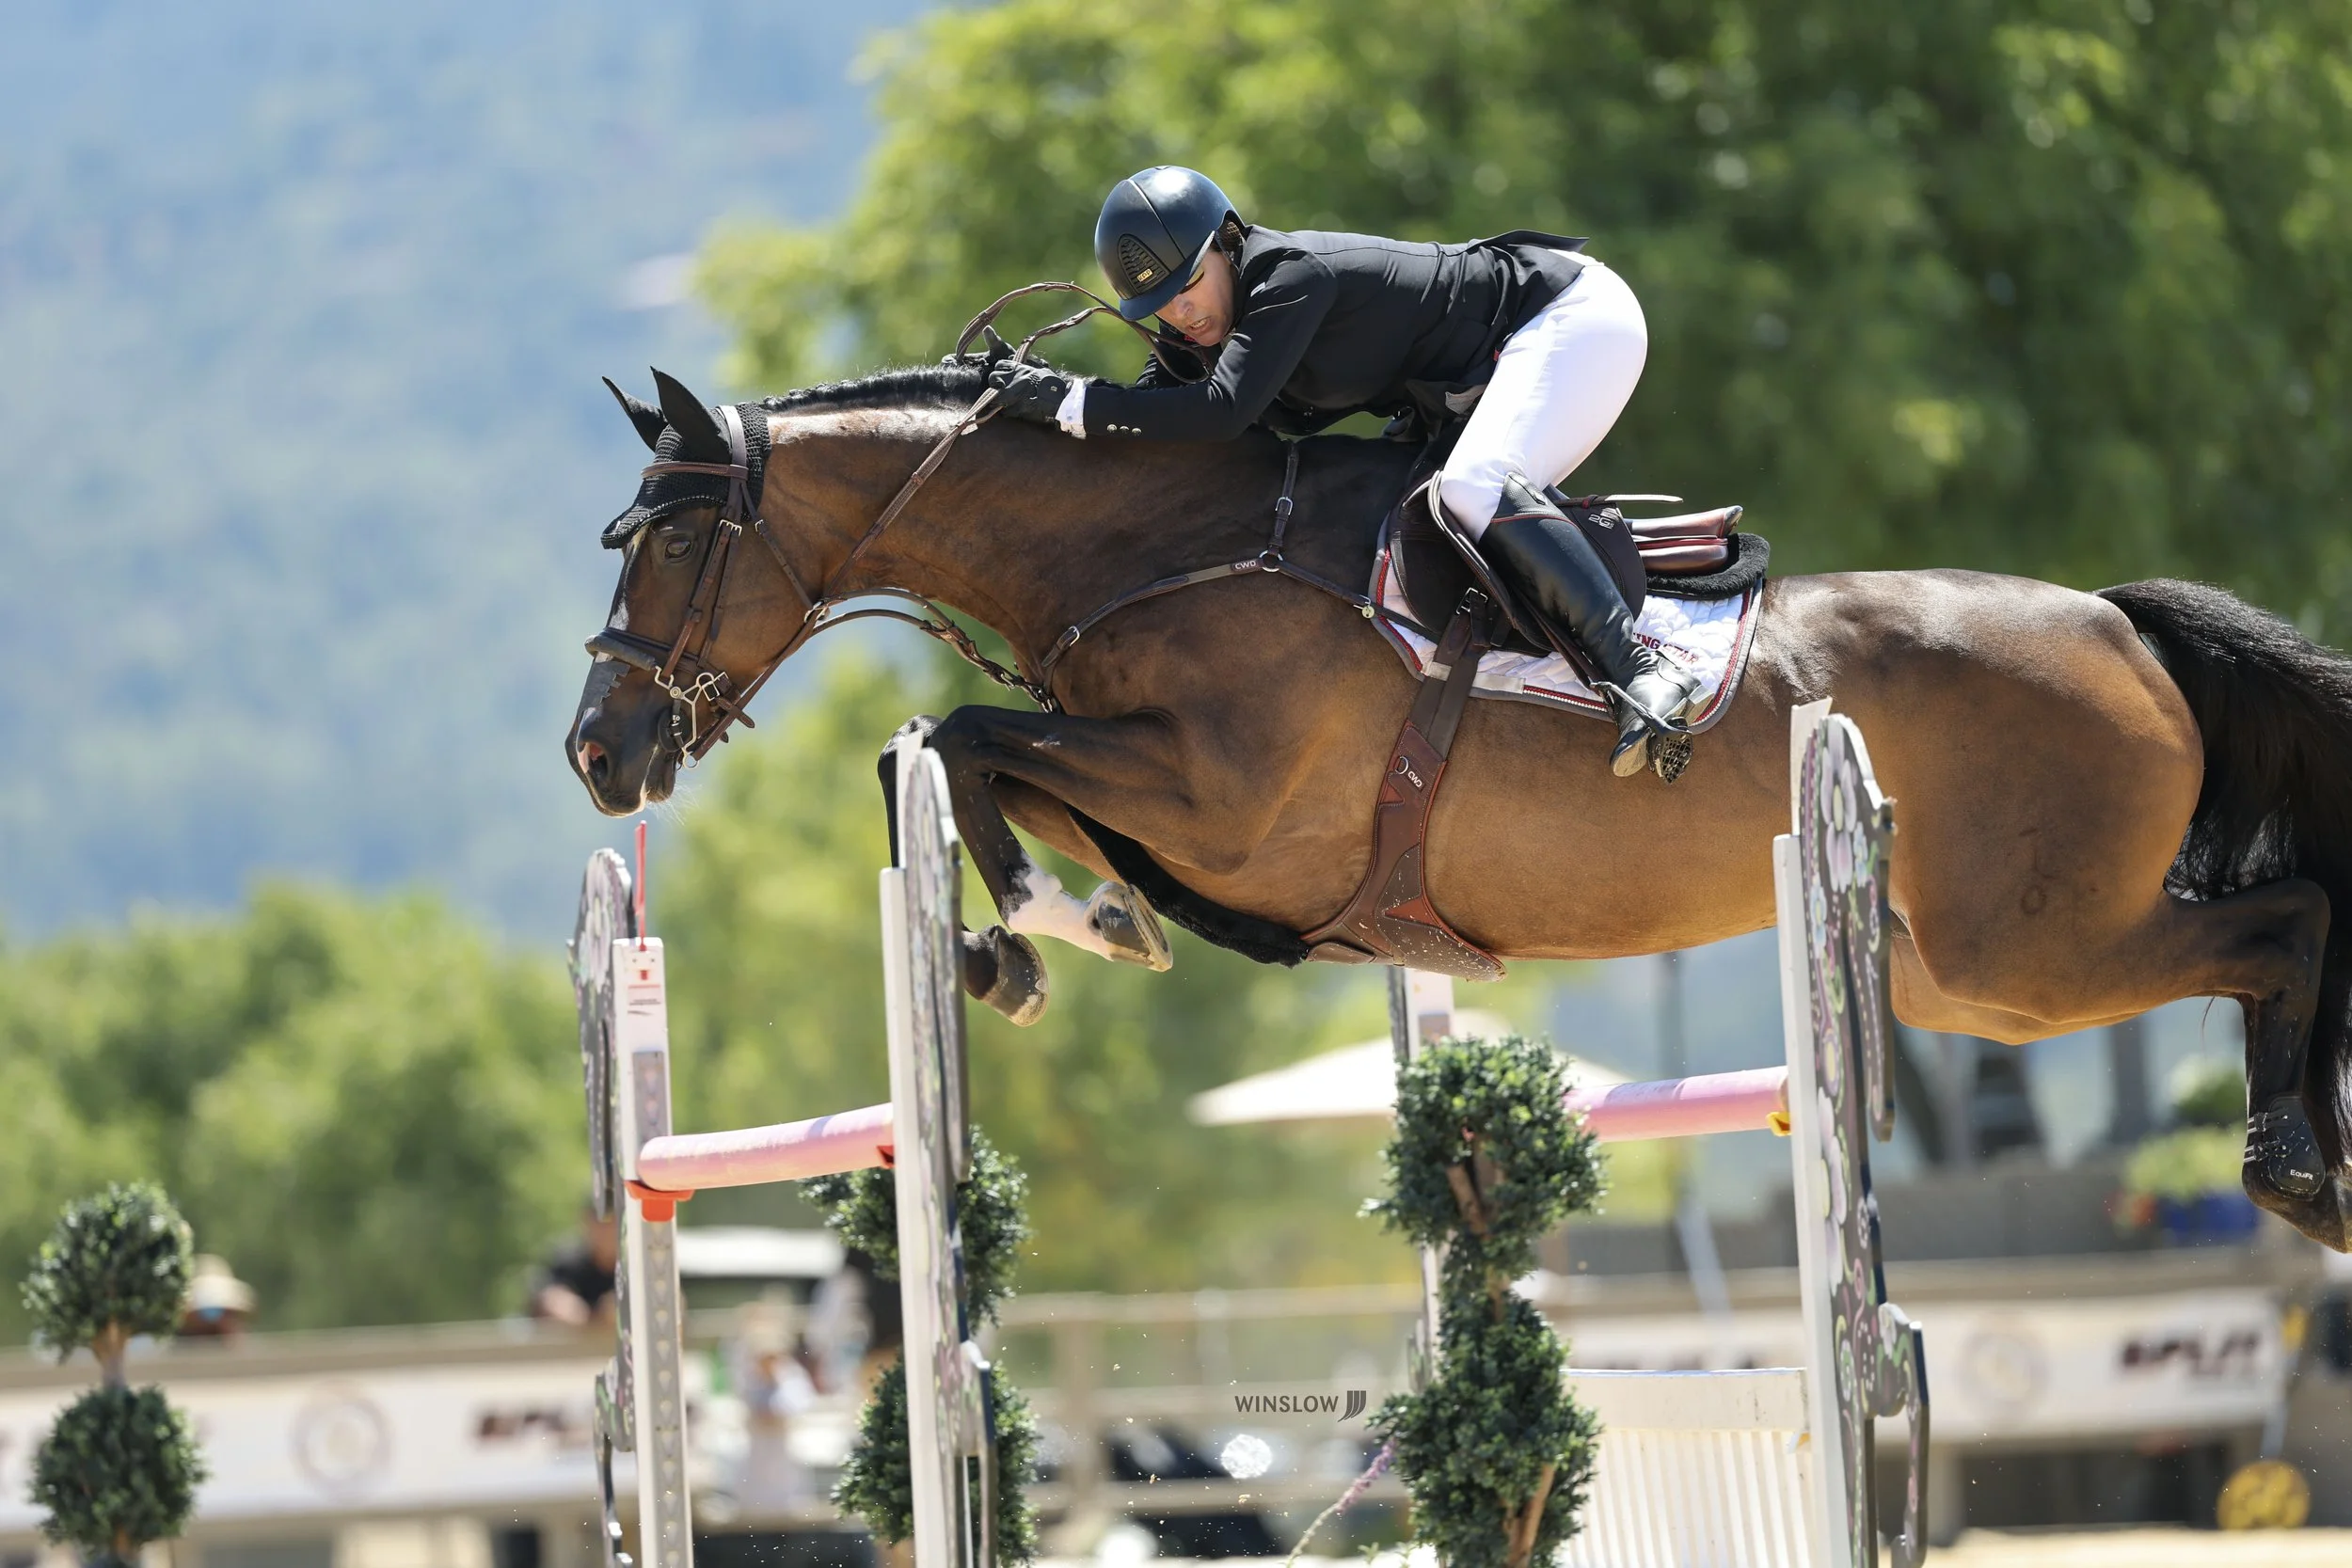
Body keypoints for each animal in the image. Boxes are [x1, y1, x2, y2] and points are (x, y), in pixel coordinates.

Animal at [568, 363, 2352, 1253]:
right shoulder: (1174, 799)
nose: (599, 751)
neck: (1160, 543)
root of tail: (2119, 622)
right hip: (1954, 970)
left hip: (2024, 950)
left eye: (668, 537)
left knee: (2288, 922)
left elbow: (965, 735)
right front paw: (1061, 928)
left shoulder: (1225, 798)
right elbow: (950, 756)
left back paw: (2293, 1174)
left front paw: (1043, 933)